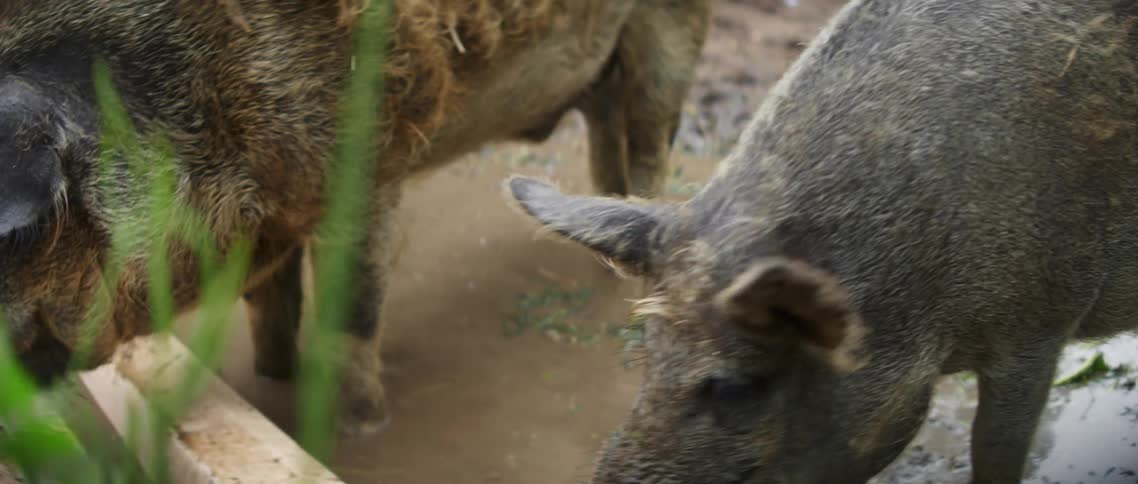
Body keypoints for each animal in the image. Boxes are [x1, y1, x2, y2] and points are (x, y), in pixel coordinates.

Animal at [0, 0, 710, 436]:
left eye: (19, 233)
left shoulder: (367, 166)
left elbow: (353, 309)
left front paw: (362, 427)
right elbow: (270, 300)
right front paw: (272, 376)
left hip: (670, 33)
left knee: (651, 143)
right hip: (603, 76)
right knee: (606, 141)